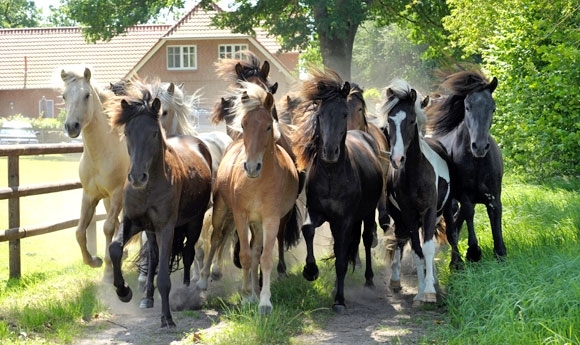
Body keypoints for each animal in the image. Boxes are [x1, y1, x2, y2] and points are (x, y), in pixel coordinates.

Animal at [380, 79, 462, 302]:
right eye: (389, 121)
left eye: (411, 121)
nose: (397, 159)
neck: (415, 174)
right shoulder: (408, 214)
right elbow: (417, 250)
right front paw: (421, 292)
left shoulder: (429, 211)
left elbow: (428, 248)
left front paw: (430, 291)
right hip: (402, 219)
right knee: (402, 242)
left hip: (444, 211)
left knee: (445, 236)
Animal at [424, 68, 506, 260]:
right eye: (467, 107)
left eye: (492, 108)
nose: (480, 146)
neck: (477, 163)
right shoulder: (465, 194)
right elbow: (468, 213)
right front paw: (473, 251)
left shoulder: (493, 193)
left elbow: (495, 213)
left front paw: (500, 251)